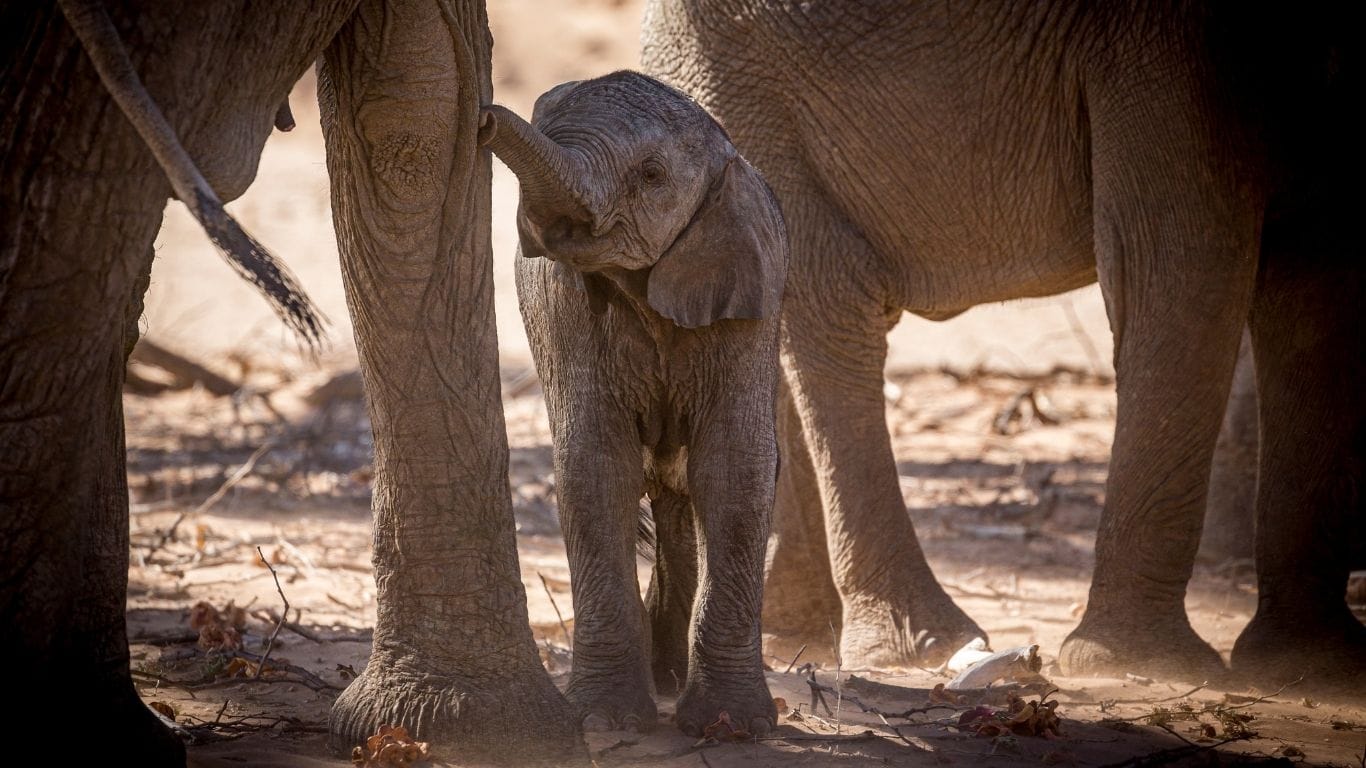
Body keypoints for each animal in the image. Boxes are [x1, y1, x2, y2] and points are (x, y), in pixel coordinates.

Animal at [480, 73, 786, 737]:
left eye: (651, 175)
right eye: (541, 117)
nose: (484, 115)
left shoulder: (752, 294)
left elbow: (737, 468)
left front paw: (732, 727)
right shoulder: (566, 309)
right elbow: (595, 466)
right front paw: (606, 719)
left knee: (685, 494)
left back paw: (671, 675)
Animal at [642, 1, 1366, 694]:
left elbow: (1319, 290)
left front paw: (1315, 666)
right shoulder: (1165, 46)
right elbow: (1178, 261)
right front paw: (1148, 664)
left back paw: (797, 637)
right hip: (746, 77)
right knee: (830, 310)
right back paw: (928, 646)